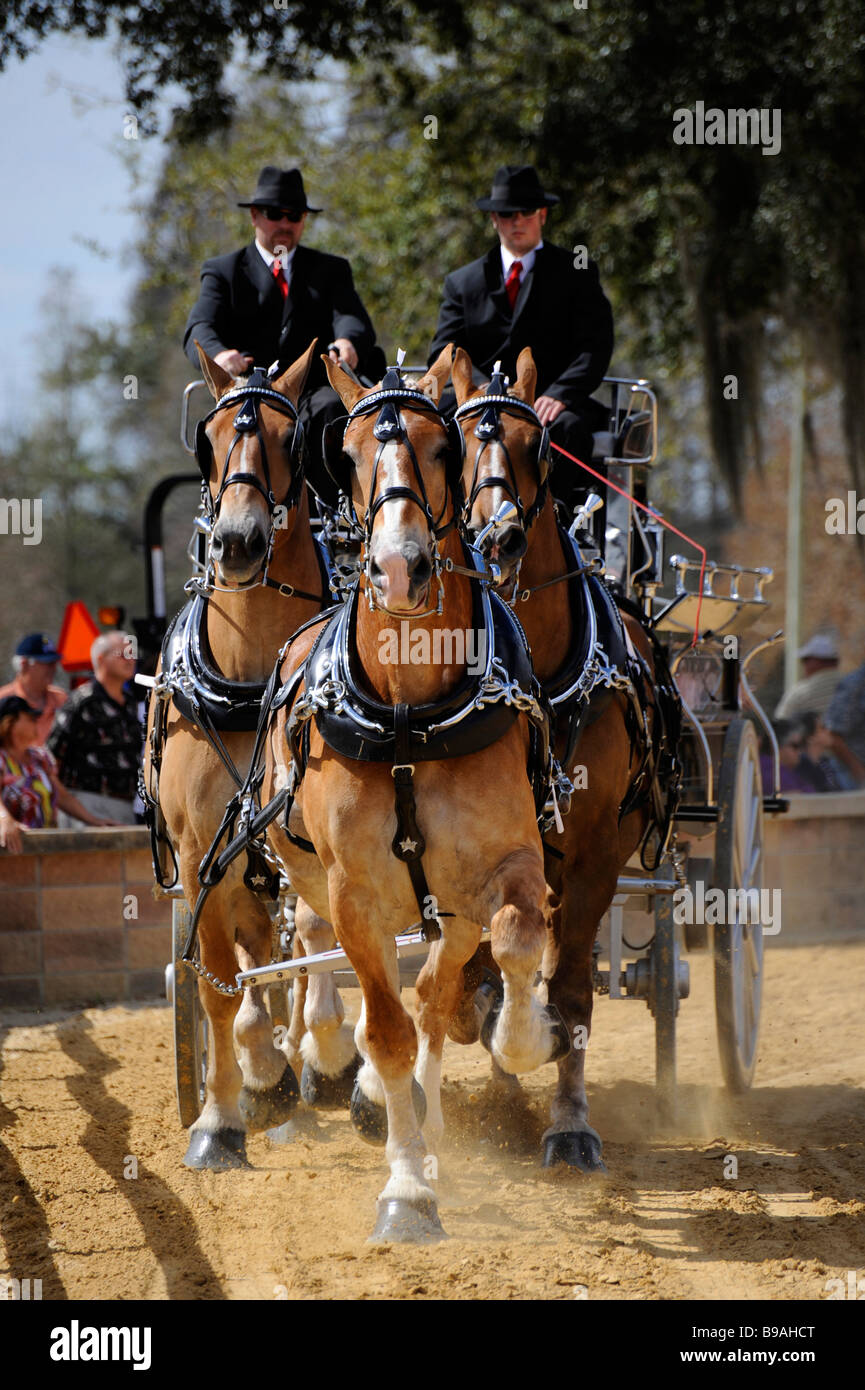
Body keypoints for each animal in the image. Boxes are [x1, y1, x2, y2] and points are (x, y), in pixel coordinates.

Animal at [258, 347, 570, 1239]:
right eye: (348, 455)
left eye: (441, 449)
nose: (400, 566)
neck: (407, 714)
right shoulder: (356, 897)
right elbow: (387, 1032)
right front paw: (404, 1188)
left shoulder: (504, 868)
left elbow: (516, 942)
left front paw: (523, 1038)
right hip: (314, 884)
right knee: (342, 984)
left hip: (449, 908)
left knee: (434, 994)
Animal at [450, 347, 661, 1173]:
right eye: (453, 444)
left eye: (535, 445)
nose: (499, 539)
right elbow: (480, 971)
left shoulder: (598, 852)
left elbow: (570, 991)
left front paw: (569, 1124)